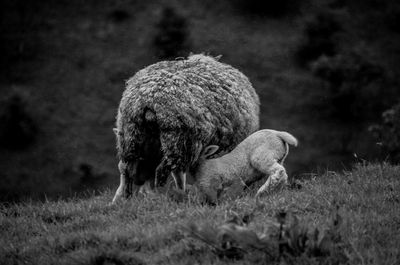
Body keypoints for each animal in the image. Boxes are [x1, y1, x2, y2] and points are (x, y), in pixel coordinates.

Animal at [111, 53, 260, 202]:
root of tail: (149, 99)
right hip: (178, 140)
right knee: (162, 173)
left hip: (130, 136)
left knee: (127, 169)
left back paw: (125, 197)